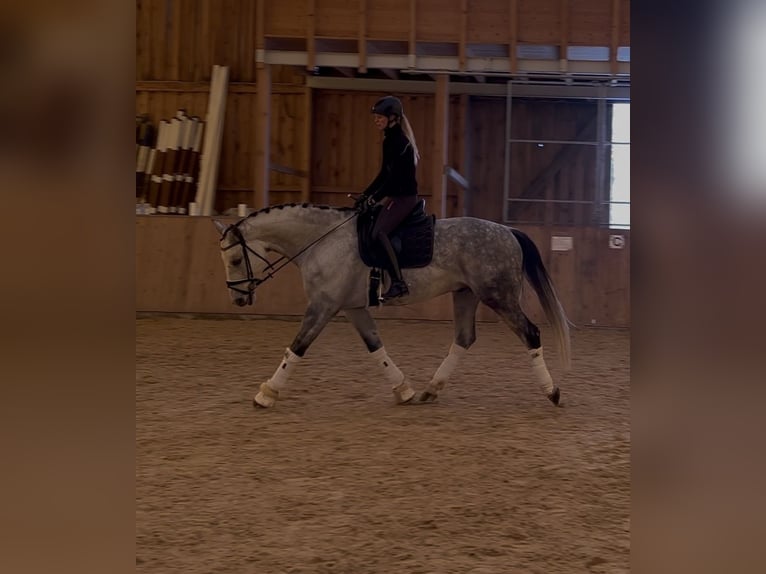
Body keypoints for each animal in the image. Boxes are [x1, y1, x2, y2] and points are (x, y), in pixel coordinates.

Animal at [212, 202, 571, 409]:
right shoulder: (353, 308)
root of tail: (508, 231)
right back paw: (430, 391)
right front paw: (404, 390)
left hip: (499, 296)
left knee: (530, 333)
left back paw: (552, 391)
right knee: (464, 339)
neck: (323, 241)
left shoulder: (323, 305)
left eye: (235, 259)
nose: (239, 298)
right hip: (465, 294)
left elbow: (296, 348)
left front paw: (266, 394)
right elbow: (376, 348)